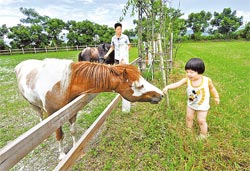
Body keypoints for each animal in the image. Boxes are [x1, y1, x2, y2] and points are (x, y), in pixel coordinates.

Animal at [14, 58, 163, 159]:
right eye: (139, 86)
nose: (161, 94)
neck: (64, 85)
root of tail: (20, 65)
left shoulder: (72, 111)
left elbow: (73, 131)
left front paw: (75, 147)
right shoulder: (54, 116)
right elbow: (59, 135)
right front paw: (62, 155)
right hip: (33, 105)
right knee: (40, 117)